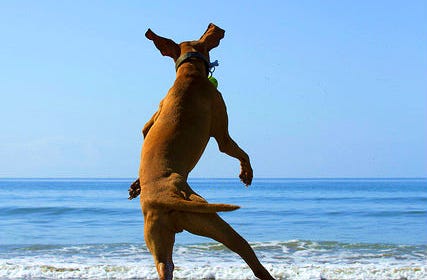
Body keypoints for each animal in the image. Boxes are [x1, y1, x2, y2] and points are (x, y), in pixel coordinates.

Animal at [134, 24, 274, 280]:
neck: (188, 74)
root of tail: (164, 197)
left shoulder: (149, 122)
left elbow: (144, 129)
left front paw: (134, 185)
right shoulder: (221, 133)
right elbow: (240, 152)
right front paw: (246, 172)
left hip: (179, 228)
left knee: (165, 265)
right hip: (209, 217)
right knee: (249, 254)